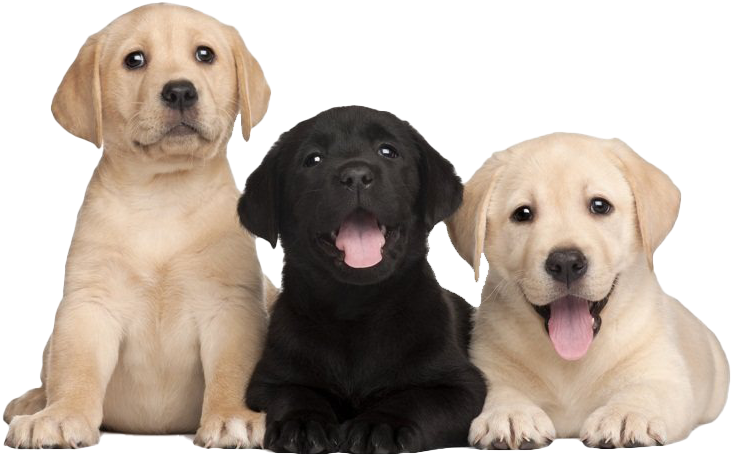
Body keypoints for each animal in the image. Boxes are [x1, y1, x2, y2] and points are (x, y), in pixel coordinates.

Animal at [3, 2, 272, 452]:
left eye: (205, 55)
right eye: (135, 60)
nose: (180, 91)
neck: (163, 195)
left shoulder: (230, 304)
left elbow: (234, 368)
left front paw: (234, 417)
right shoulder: (89, 304)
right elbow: (76, 369)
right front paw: (61, 416)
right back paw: (33, 403)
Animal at [239, 106, 486, 452]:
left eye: (388, 151)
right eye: (313, 159)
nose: (356, 175)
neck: (356, 309)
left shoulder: (462, 388)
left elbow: (414, 400)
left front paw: (381, 424)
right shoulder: (269, 380)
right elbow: (294, 393)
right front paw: (302, 422)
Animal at [448, 134, 728, 450]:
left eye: (599, 206)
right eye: (523, 214)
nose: (566, 262)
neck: (570, 361)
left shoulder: (665, 374)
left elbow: (647, 389)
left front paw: (625, 414)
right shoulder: (489, 365)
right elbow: (500, 388)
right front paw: (509, 413)